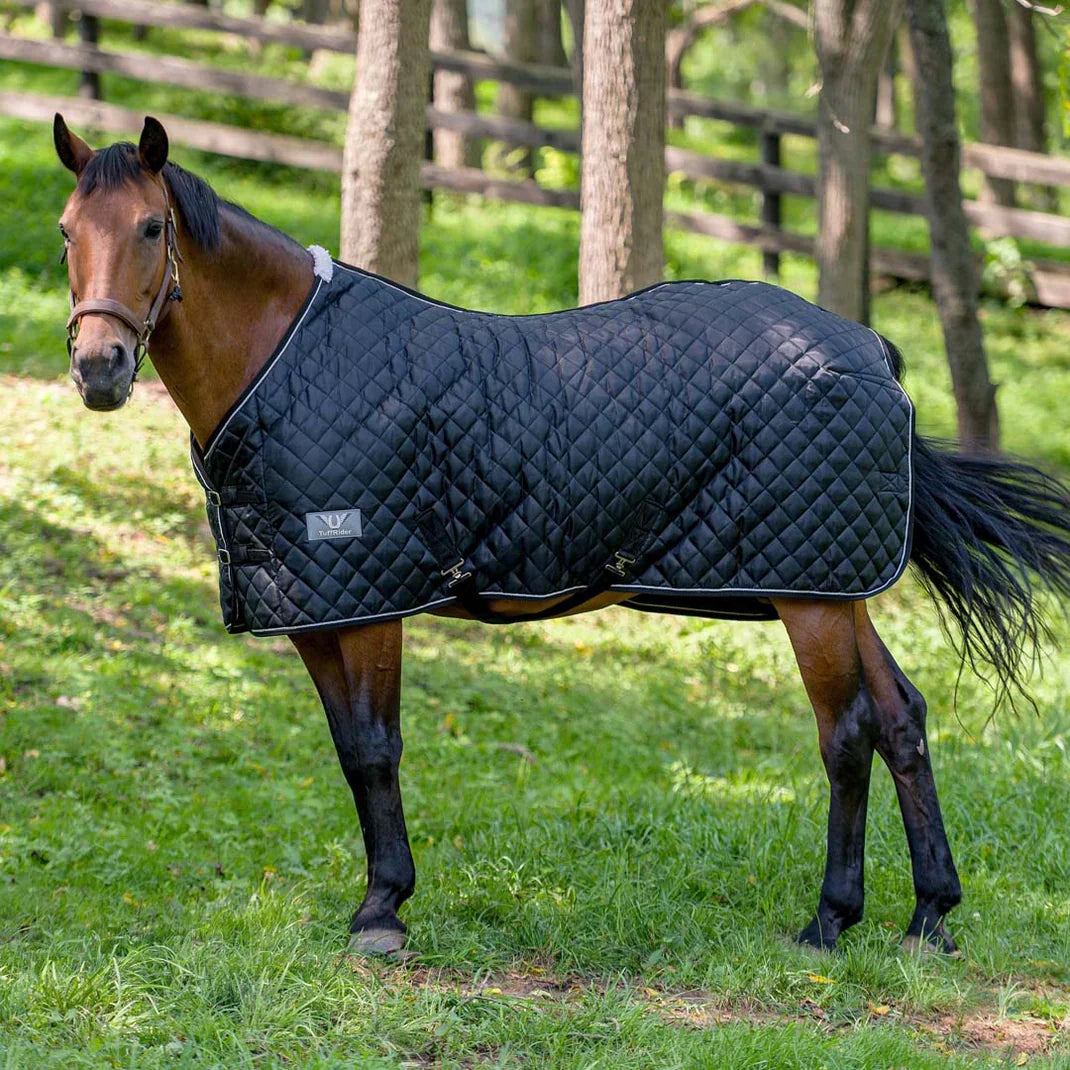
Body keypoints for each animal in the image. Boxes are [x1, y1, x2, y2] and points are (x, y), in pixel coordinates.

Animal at [52, 115, 1070, 958]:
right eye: (68, 231)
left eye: (151, 229)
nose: (100, 368)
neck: (290, 357)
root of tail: (872, 353)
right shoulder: (313, 609)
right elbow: (348, 752)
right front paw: (378, 900)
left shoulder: (374, 600)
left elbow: (377, 749)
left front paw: (384, 914)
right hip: (832, 580)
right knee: (901, 718)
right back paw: (929, 917)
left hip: (806, 596)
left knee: (848, 732)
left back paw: (831, 919)